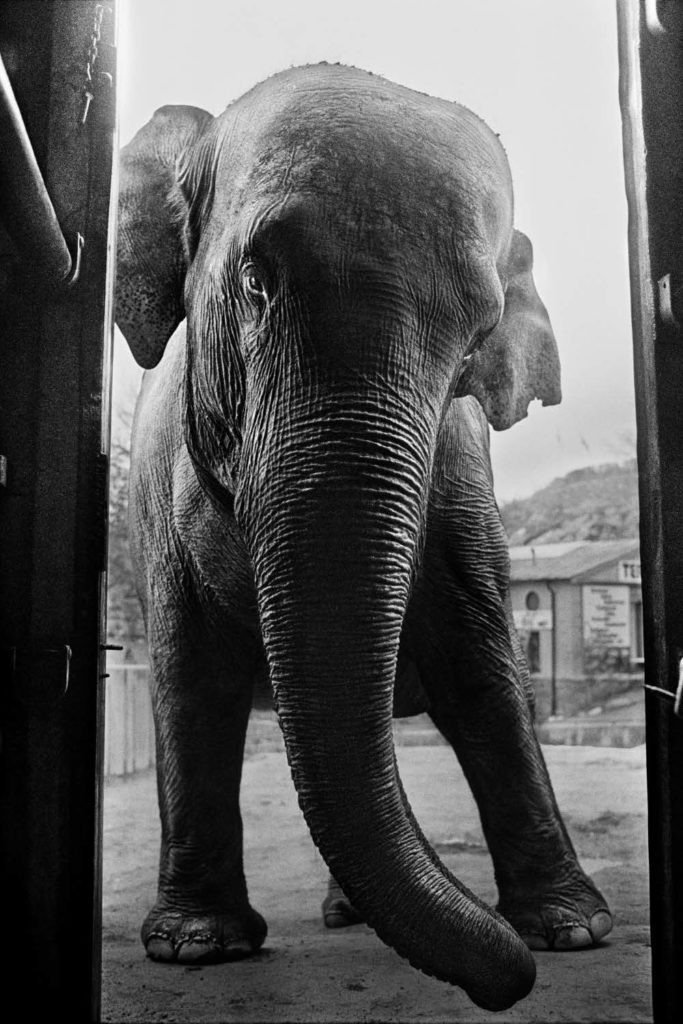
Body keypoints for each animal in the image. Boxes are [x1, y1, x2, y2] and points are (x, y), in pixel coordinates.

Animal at [115, 63, 612, 1012]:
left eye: (477, 340)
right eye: (254, 281)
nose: (508, 986)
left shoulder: (459, 477)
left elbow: (479, 671)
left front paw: (573, 933)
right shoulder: (161, 502)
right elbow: (190, 682)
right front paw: (197, 947)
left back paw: (351, 913)